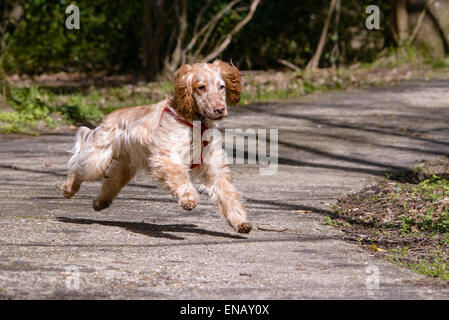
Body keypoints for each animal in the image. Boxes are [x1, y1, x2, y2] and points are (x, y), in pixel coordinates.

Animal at [62, 60, 252, 234]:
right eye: (201, 87)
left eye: (221, 86)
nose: (220, 109)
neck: (195, 122)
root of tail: (107, 119)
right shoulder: (167, 157)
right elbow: (180, 177)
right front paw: (188, 198)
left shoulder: (212, 167)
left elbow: (227, 193)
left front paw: (240, 221)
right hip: (98, 158)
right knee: (79, 166)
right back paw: (69, 188)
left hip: (125, 166)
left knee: (111, 183)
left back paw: (100, 202)